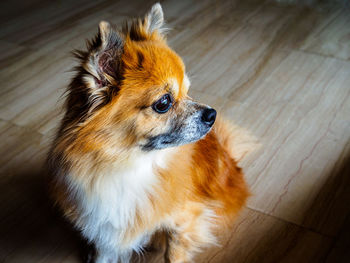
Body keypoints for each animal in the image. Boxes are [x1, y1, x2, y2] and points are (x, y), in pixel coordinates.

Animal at [47, 2, 252, 263]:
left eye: (188, 91)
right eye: (163, 103)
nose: (212, 114)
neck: (127, 166)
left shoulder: (185, 221)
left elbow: (173, 255)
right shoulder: (105, 233)